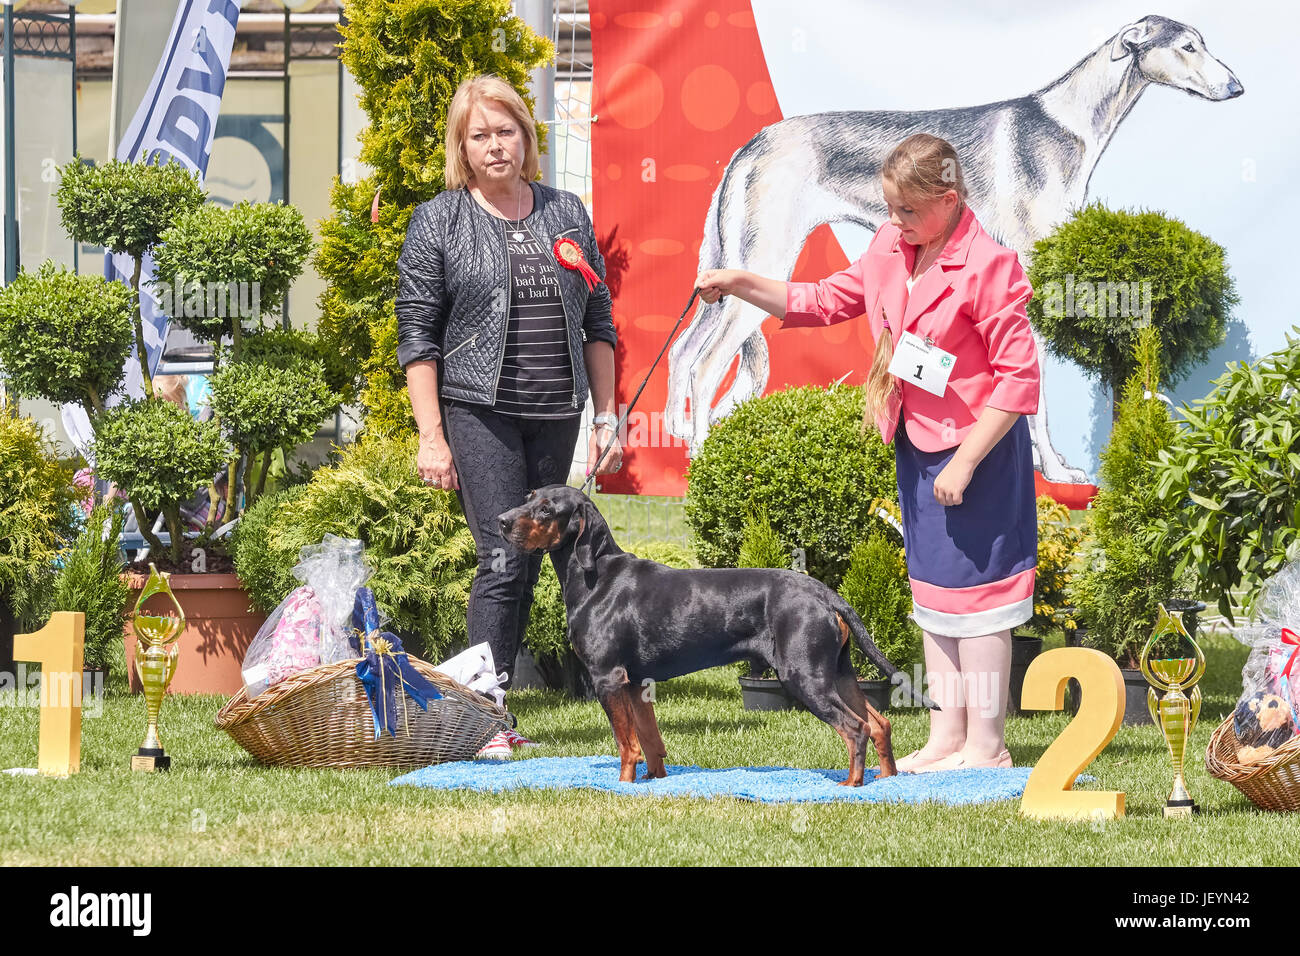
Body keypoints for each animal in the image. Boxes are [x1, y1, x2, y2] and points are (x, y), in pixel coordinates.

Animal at [496, 486, 935, 785]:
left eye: (547, 509)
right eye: (528, 496)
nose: (501, 520)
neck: (595, 575)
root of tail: (824, 593)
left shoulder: (609, 678)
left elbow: (627, 745)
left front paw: (623, 786)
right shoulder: (636, 682)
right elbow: (650, 740)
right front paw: (654, 782)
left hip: (804, 675)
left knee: (855, 728)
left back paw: (850, 784)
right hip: (838, 672)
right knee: (879, 724)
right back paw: (886, 781)